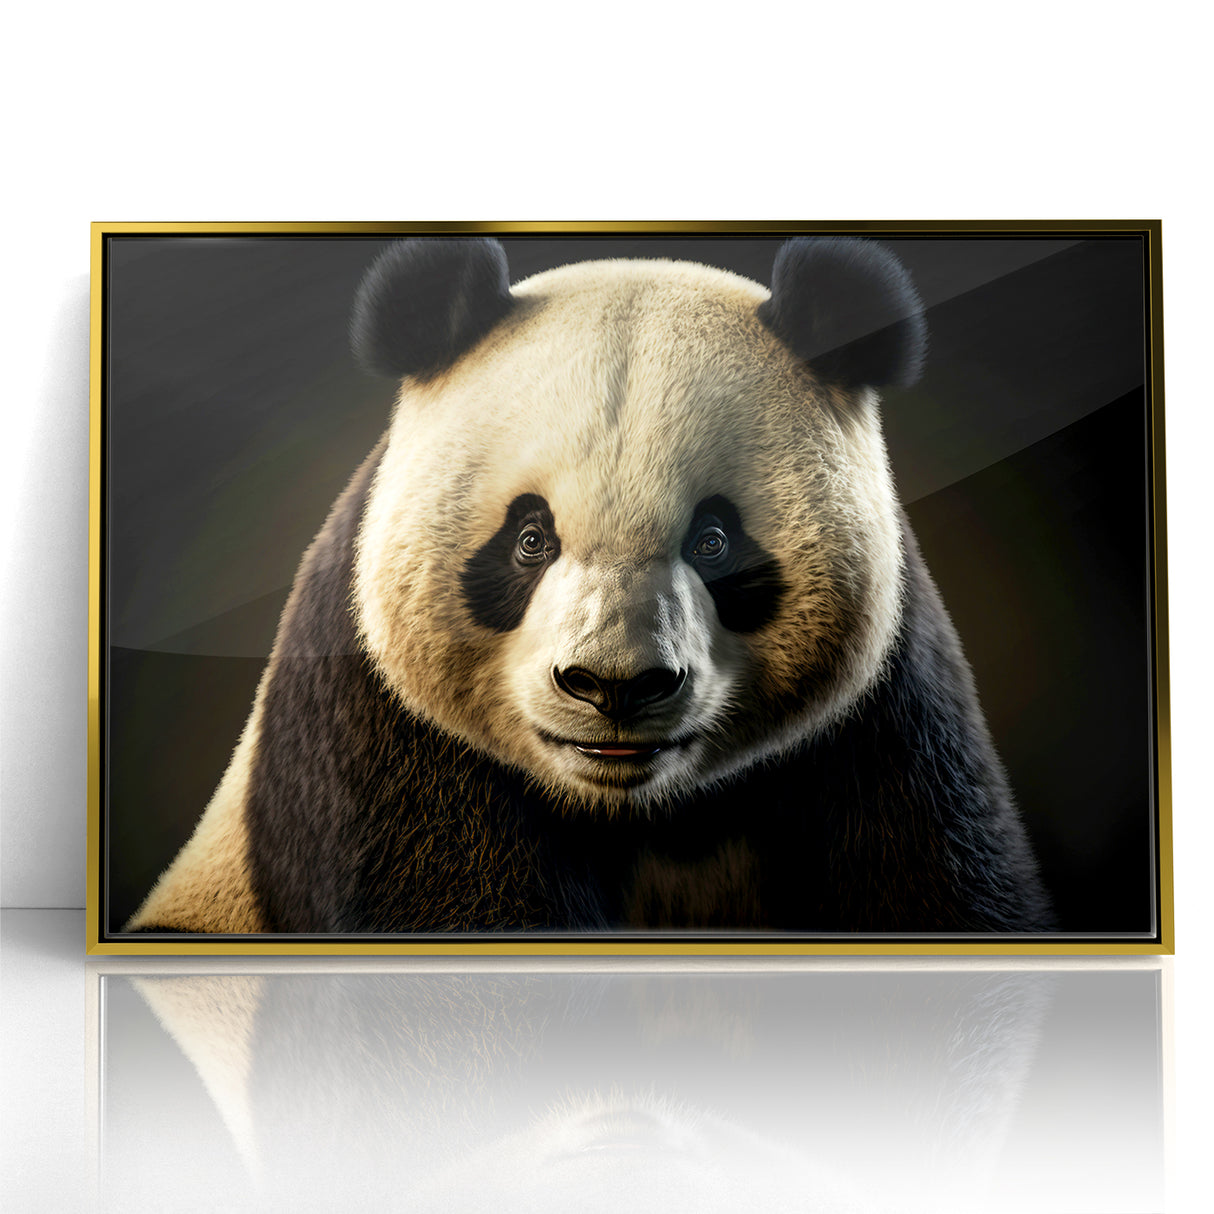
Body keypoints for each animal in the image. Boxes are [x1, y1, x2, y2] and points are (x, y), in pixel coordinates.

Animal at [126, 236, 1054, 936]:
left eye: (714, 542)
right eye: (530, 539)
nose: (614, 686)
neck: (643, 815)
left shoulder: (887, 718)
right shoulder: (378, 727)